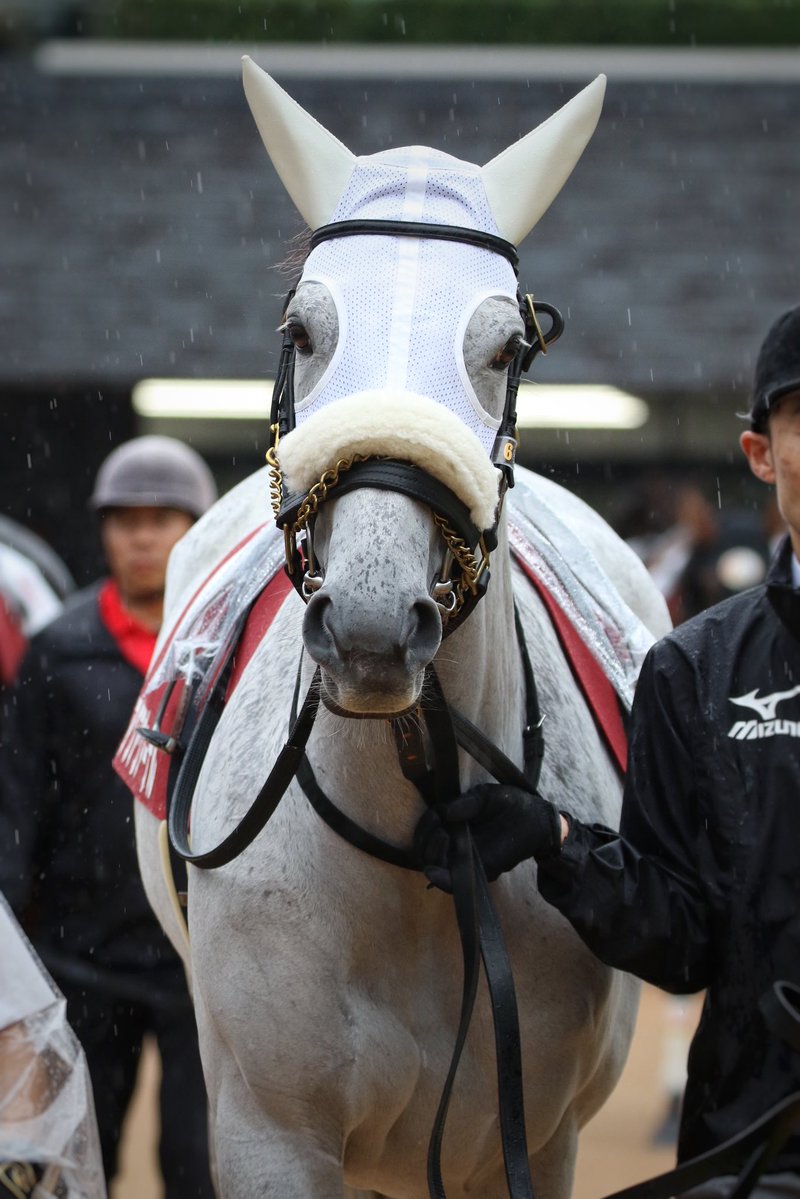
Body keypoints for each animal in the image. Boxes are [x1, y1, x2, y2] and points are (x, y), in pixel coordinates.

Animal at [132, 59, 671, 1199]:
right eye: (300, 331)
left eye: (505, 346)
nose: (373, 624)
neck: (419, 841)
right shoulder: (271, 1134)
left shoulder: (527, 1138)